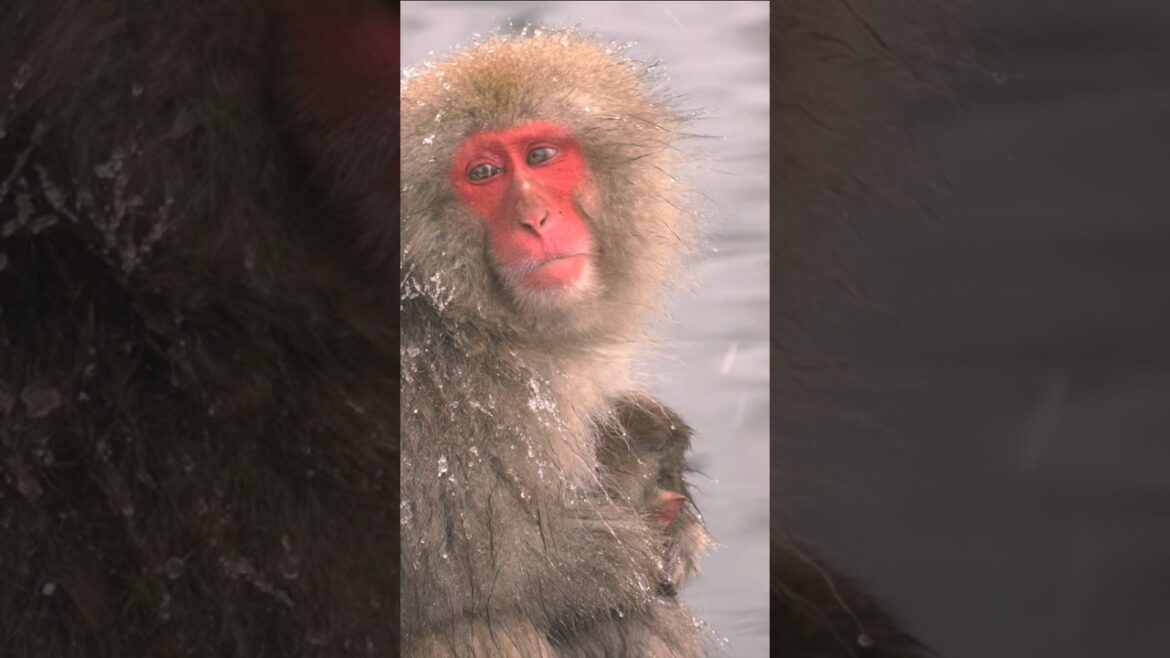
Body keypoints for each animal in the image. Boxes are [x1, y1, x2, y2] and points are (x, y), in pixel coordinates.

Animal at [399, 29, 711, 657]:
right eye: (484, 173)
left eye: (541, 156)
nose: (536, 219)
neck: (453, 317)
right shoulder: (440, 396)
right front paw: (623, 554)